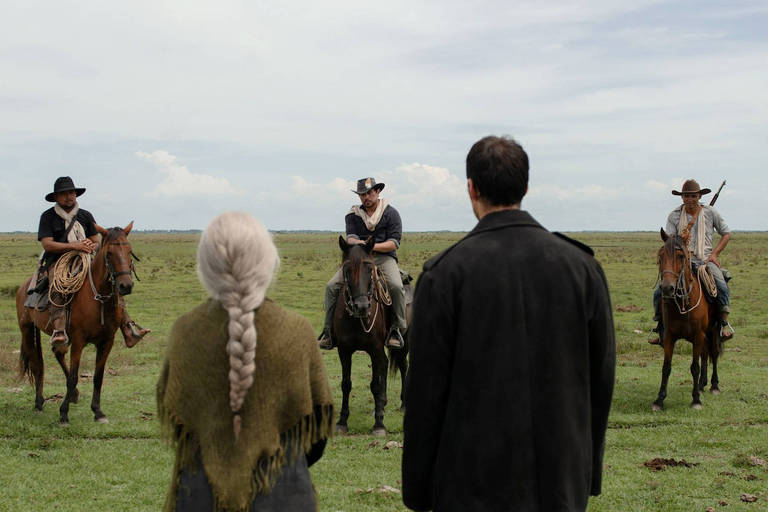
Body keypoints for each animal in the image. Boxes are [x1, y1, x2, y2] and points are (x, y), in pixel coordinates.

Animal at [16, 222, 140, 426]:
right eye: (109, 253)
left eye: (129, 250)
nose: (125, 286)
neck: (98, 300)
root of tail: (23, 287)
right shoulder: (79, 341)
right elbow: (73, 376)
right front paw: (63, 414)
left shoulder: (107, 341)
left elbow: (98, 377)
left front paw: (98, 412)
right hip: (26, 329)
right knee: (36, 364)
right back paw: (39, 402)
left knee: (57, 352)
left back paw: (72, 395)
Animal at [332, 237, 412, 436]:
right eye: (346, 269)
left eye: (370, 270)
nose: (361, 306)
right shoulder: (344, 351)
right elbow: (346, 384)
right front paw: (342, 422)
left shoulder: (374, 349)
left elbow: (375, 385)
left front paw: (379, 424)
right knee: (385, 365)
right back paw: (383, 402)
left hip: (405, 340)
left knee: (403, 365)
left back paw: (403, 404)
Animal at [652, 229, 724, 412]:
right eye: (661, 256)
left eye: (680, 256)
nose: (667, 288)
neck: (682, 304)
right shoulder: (669, 336)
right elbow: (666, 367)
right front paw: (659, 400)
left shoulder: (698, 335)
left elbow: (694, 367)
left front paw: (696, 400)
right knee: (705, 355)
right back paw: (702, 384)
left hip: (713, 331)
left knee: (713, 354)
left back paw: (713, 385)